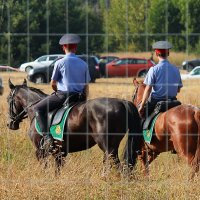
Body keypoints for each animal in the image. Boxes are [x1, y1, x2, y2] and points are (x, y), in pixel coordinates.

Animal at [6, 79, 142, 173]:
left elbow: (45, 170)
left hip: (108, 147)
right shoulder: (59, 153)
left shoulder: (40, 152)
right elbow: (57, 172)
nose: (9, 123)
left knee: (119, 167)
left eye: (8, 99)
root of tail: (122, 102)